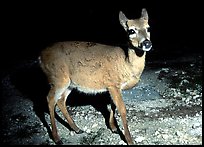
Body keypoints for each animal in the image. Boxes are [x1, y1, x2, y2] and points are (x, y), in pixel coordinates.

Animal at [38, 8, 151, 145]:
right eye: (131, 30)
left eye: (148, 28)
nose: (147, 43)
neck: (126, 63)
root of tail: (40, 57)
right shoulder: (113, 84)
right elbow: (122, 109)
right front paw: (129, 139)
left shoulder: (112, 86)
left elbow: (113, 106)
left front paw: (113, 127)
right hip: (58, 78)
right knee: (50, 99)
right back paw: (56, 138)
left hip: (70, 83)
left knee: (60, 100)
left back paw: (76, 129)